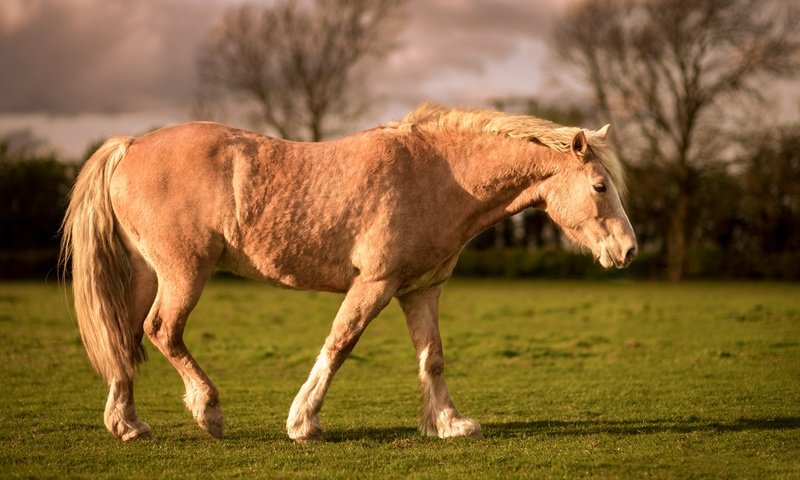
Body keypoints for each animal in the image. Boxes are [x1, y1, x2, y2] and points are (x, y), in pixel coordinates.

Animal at [59, 101, 636, 442]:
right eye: (600, 186)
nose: (628, 251)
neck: (436, 174)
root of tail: (130, 146)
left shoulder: (420, 290)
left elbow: (432, 359)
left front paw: (450, 424)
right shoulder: (374, 284)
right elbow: (339, 344)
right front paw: (303, 422)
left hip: (148, 274)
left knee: (125, 336)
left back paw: (128, 424)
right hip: (184, 273)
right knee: (162, 330)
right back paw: (208, 411)